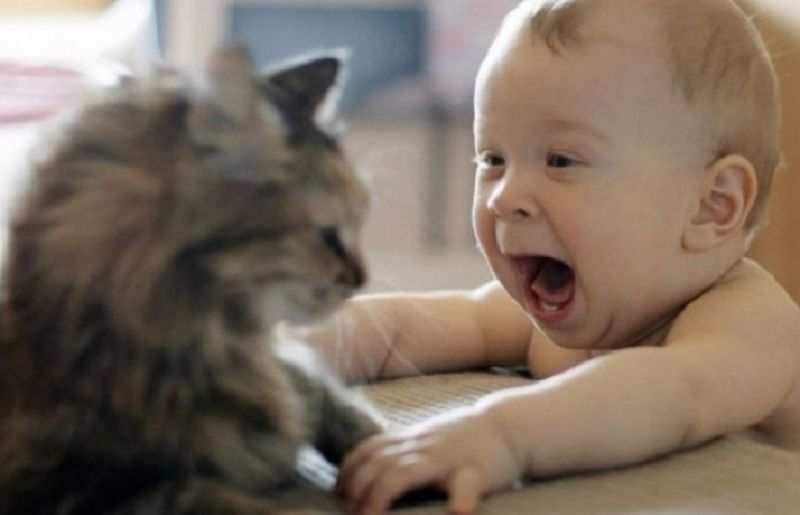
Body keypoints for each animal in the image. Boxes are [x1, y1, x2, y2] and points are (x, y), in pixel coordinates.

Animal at [0, 47, 382, 514]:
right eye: (329, 235)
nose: (363, 279)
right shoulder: (68, 492)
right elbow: (205, 493)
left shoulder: (287, 369)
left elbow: (335, 403)